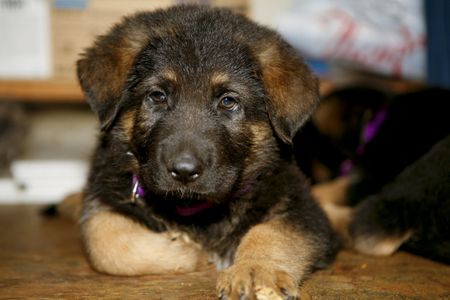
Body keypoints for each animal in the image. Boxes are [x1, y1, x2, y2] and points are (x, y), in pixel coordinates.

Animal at [77, 5, 336, 300]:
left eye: (228, 101)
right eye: (157, 96)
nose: (184, 171)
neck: (195, 208)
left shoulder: (304, 208)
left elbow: (271, 232)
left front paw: (255, 269)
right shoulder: (103, 195)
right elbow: (105, 239)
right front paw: (190, 251)